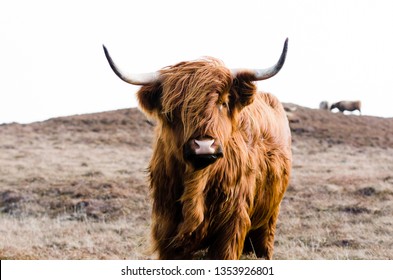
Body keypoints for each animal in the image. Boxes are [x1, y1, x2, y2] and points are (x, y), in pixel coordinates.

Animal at [102, 39, 290, 260]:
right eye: (172, 110)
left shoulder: (231, 228)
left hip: (269, 217)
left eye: (223, 103)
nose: (204, 146)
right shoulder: (166, 229)